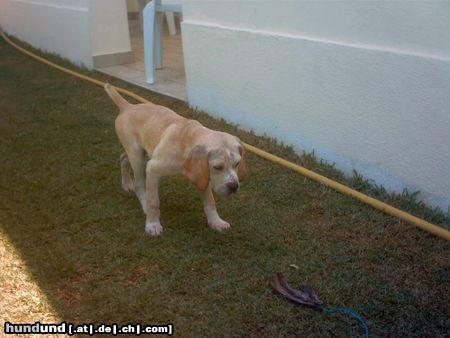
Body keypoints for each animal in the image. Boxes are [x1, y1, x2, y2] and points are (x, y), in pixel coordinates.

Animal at [104, 84, 248, 235]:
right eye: (218, 167)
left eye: (237, 164)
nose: (234, 187)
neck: (187, 139)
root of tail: (128, 106)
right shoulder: (152, 169)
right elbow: (153, 201)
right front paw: (152, 224)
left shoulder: (202, 177)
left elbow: (210, 201)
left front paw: (216, 222)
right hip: (137, 157)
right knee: (139, 183)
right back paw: (144, 206)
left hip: (139, 152)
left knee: (123, 158)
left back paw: (126, 184)